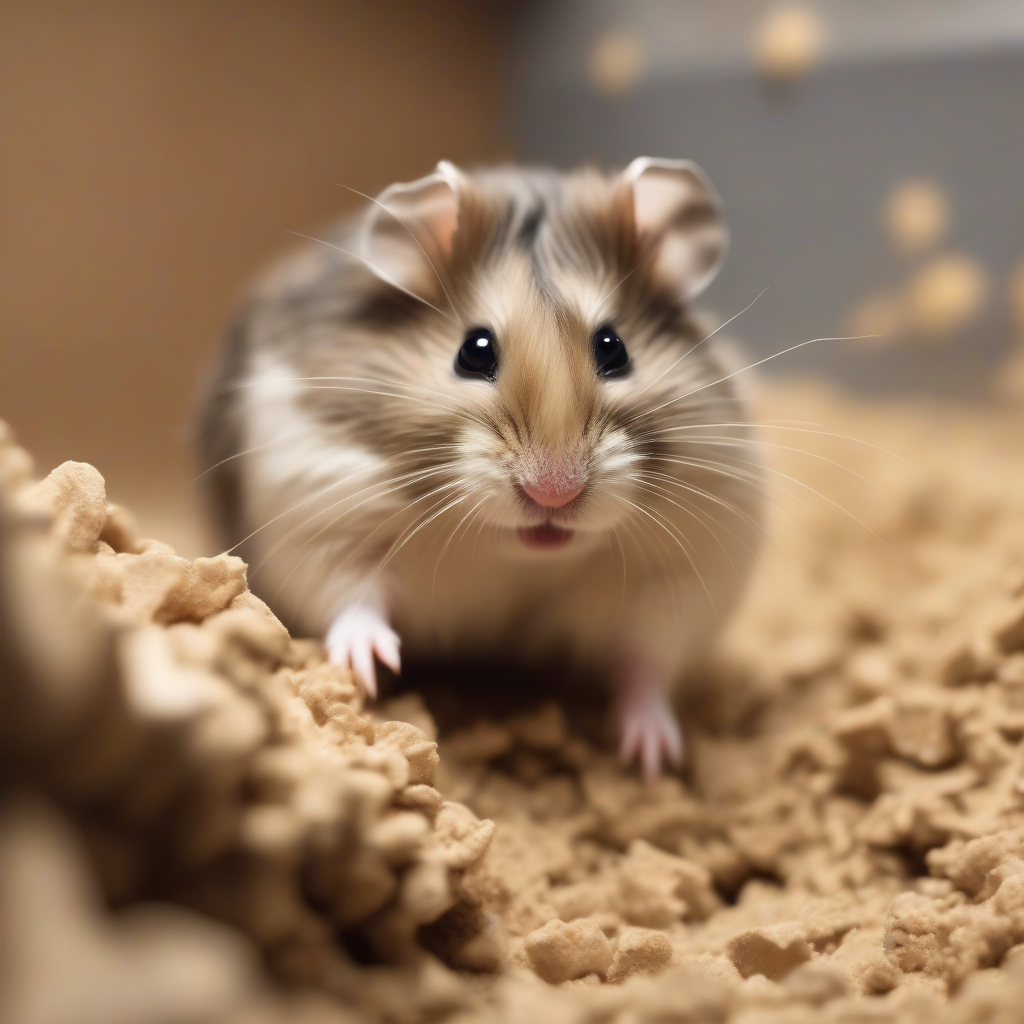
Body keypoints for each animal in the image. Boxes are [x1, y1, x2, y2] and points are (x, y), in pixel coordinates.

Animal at [200, 158, 764, 779]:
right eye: (473, 350)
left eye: (614, 348)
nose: (553, 495)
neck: (520, 554)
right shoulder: (319, 516)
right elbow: (354, 597)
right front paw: (371, 668)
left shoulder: (683, 574)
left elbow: (648, 662)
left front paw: (652, 756)